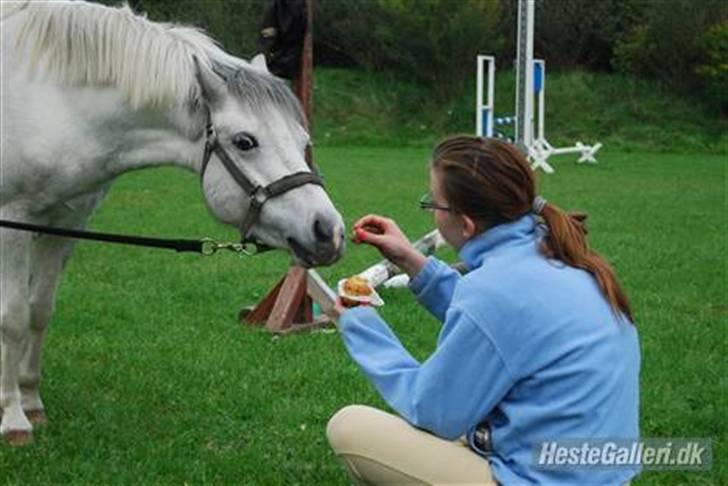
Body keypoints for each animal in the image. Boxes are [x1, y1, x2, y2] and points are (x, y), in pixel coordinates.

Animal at [0, 0, 345, 444]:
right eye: (245, 142)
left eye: (304, 142)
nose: (328, 231)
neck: (51, 101)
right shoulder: (15, 223)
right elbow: (13, 317)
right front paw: (13, 417)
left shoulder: (66, 223)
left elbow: (39, 310)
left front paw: (30, 401)